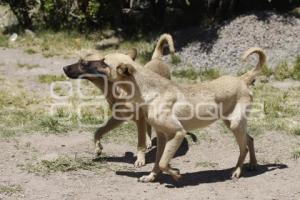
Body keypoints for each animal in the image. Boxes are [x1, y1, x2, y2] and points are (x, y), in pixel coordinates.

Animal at [63, 33, 176, 166]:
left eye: (84, 63)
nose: (64, 68)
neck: (117, 90)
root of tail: (157, 59)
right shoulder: (118, 118)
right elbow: (98, 131)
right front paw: (98, 148)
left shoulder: (139, 119)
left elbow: (140, 143)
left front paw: (140, 159)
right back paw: (149, 141)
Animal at [95, 46, 266, 181]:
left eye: (104, 62)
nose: (87, 64)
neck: (149, 90)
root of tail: (241, 79)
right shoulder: (162, 136)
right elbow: (158, 161)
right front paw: (151, 176)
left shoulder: (178, 133)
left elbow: (163, 162)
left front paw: (175, 174)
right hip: (232, 123)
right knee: (250, 139)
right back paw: (253, 164)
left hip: (235, 124)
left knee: (244, 148)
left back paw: (237, 171)